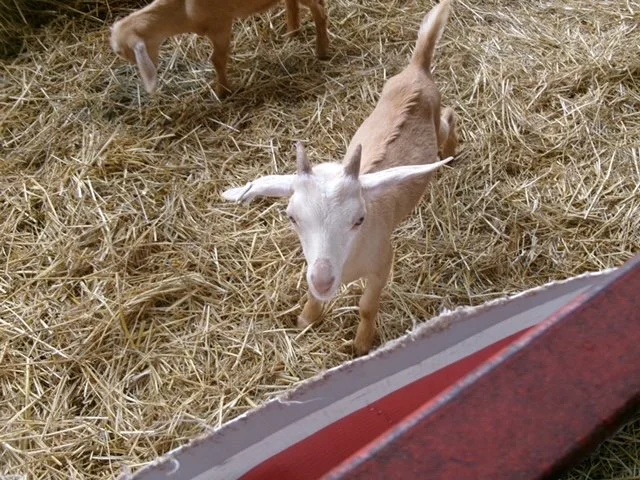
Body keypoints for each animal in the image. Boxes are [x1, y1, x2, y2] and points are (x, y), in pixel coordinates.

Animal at [110, 0, 330, 96]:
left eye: (120, 51)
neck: (182, 11)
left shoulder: (221, 24)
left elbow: (217, 59)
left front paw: (222, 91)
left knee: (320, 11)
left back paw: (322, 51)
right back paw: (292, 33)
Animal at [222, 0, 457, 355]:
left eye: (359, 219)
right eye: (292, 217)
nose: (323, 279)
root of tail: (417, 70)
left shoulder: (382, 261)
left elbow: (367, 306)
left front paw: (361, 346)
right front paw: (306, 318)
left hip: (435, 116)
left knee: (448, 118)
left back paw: (452, 152)